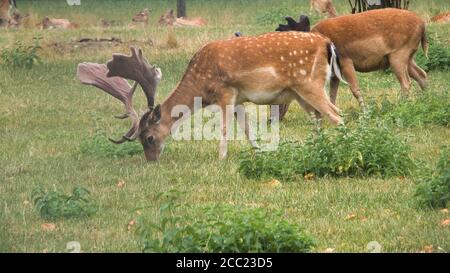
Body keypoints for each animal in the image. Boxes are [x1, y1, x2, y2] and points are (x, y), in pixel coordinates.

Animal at [77, 31, 344, 160]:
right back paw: (316, 148)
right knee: (318, 117)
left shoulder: (225, 92)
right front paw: (258, 151)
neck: (201, 87)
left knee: (336, 114)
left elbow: (225, 128)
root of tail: (327, 43)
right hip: (299, 93)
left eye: (149, 138)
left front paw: (221, 159)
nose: (151, 159)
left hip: (309, 83)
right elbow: (246, 128)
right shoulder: (239, 99)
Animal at [274, 8, 426, 119]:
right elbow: (332, 94)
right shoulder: (334, 73)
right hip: (407, 57)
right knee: (422, 74)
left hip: (398, 55)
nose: (273, 118)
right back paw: (426, 99)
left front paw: (365, 114)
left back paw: (402, 107)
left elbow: (355, 89)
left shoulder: (345, 60)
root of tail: (423, 24)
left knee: (406, 82)